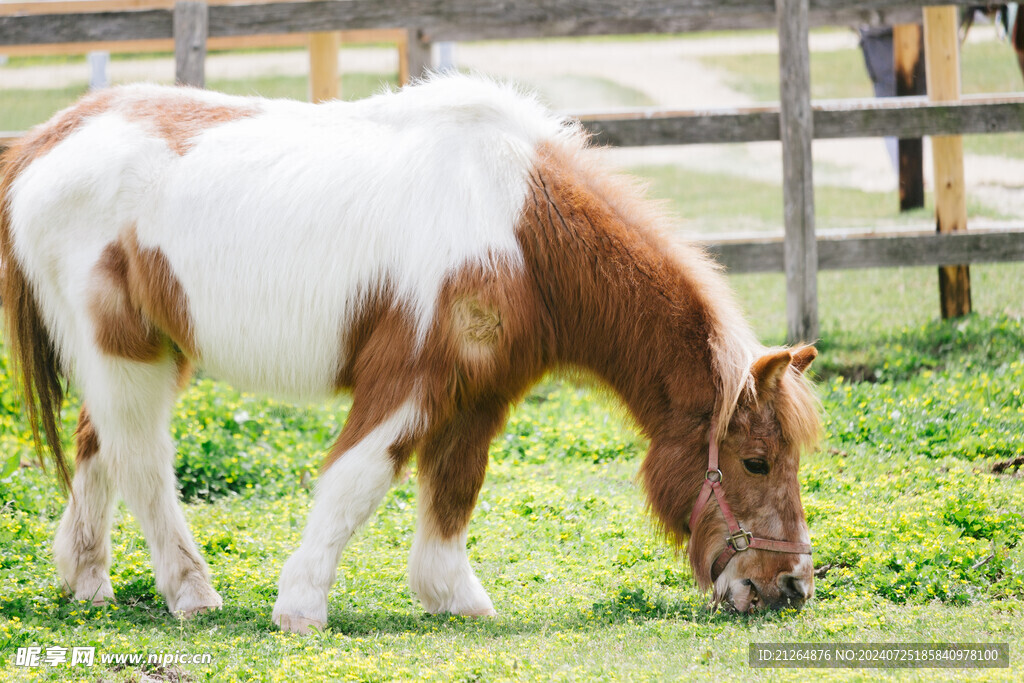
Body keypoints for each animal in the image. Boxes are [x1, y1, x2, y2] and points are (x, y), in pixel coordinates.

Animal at [0, 72, 815, 634]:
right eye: (755, 462)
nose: (791, 587)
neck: (520, 233)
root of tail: (47, 139)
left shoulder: (479, 396)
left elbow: (454, 489)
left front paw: (451, 595)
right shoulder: (410, 380)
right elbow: (355, 482)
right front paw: (301, 606)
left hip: (148, 354)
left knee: (96, 445)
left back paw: (86, 579)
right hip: (126, 355)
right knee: (141, 462)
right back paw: (191, 592)